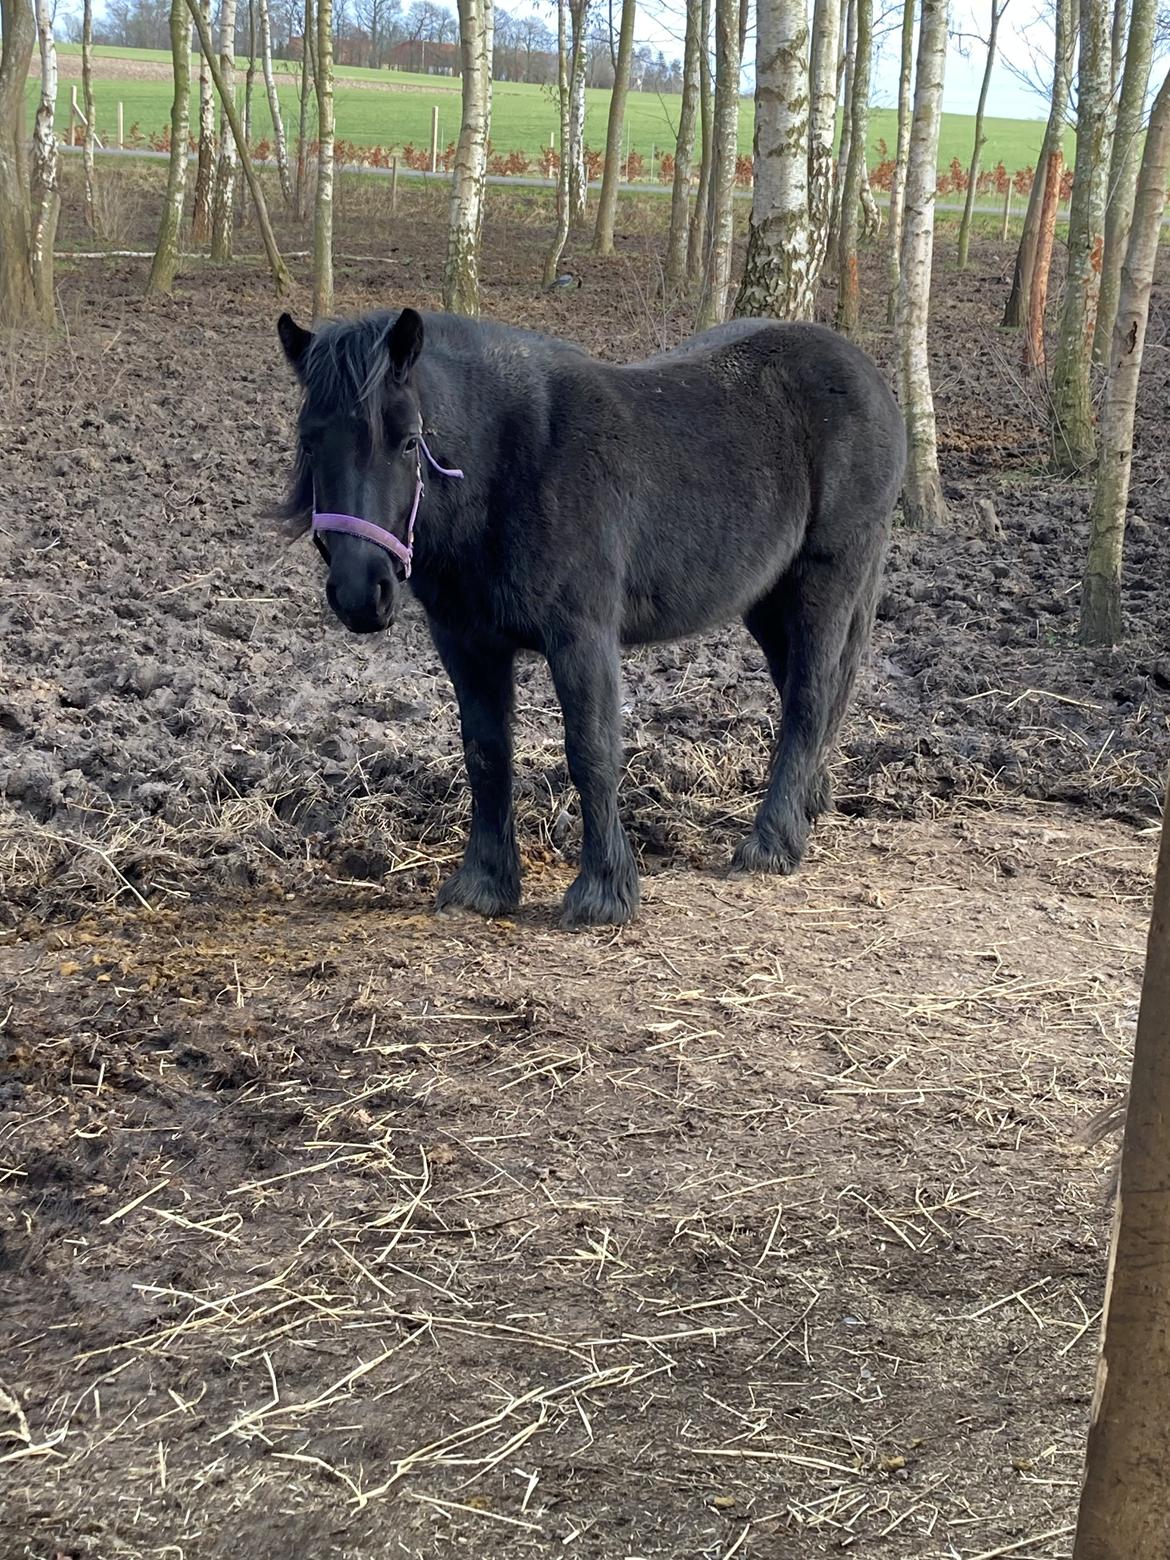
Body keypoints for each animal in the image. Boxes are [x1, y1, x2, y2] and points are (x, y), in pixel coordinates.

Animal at [276, 306, 906, 929]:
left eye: (409, 442)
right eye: (309, 442)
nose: (361, 591)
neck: (510, 464)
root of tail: (865, 374)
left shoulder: (582, 638)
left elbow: (591, 751)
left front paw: (604, 892)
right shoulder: (466, 643)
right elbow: (485, 753)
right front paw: (484, 884)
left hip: (826, 580)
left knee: (810, 696)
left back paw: (772, 842)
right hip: (768, 600)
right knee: (804, 689)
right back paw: (809, 806)